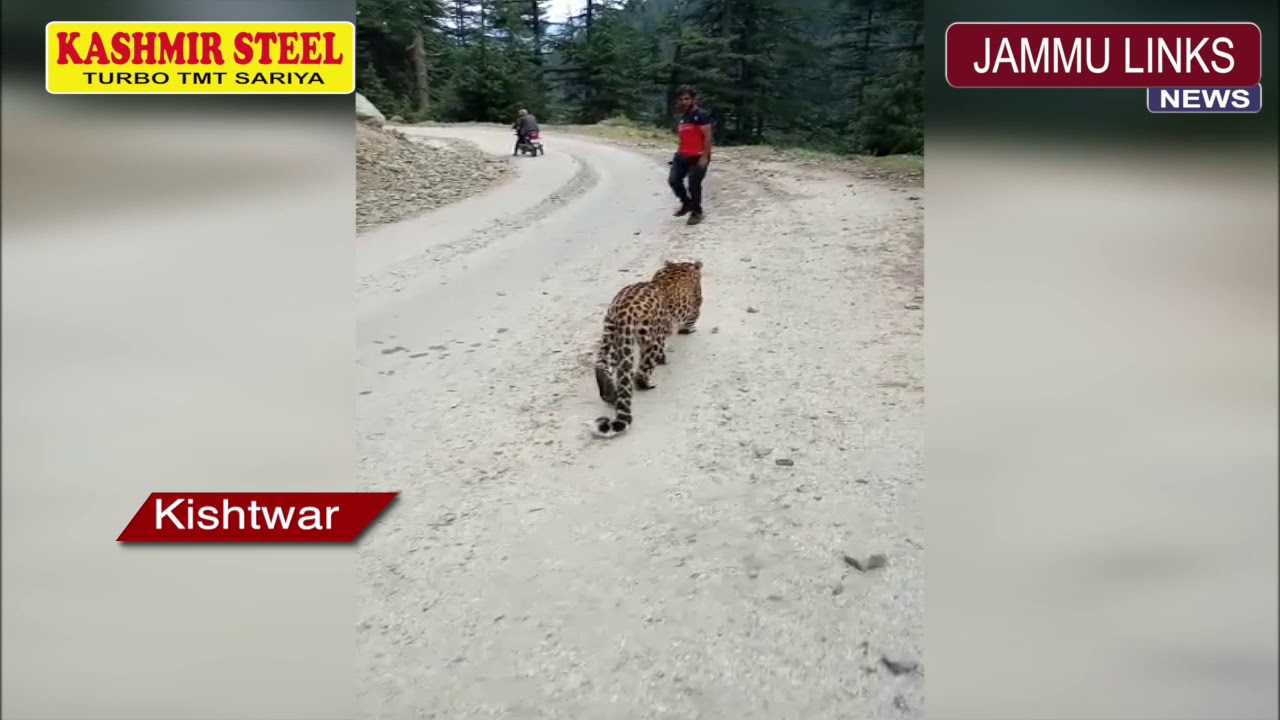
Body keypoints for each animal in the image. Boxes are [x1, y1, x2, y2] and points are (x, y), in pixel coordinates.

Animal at [592, 259, 703, 438]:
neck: (678, 267)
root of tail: (626, 308)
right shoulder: (694, 308)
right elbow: (689, 323)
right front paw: (687, 331)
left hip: (610, 331)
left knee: (601, 363)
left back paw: (609, 393)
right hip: (650, 340)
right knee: (641, 372)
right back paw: (647, 384)